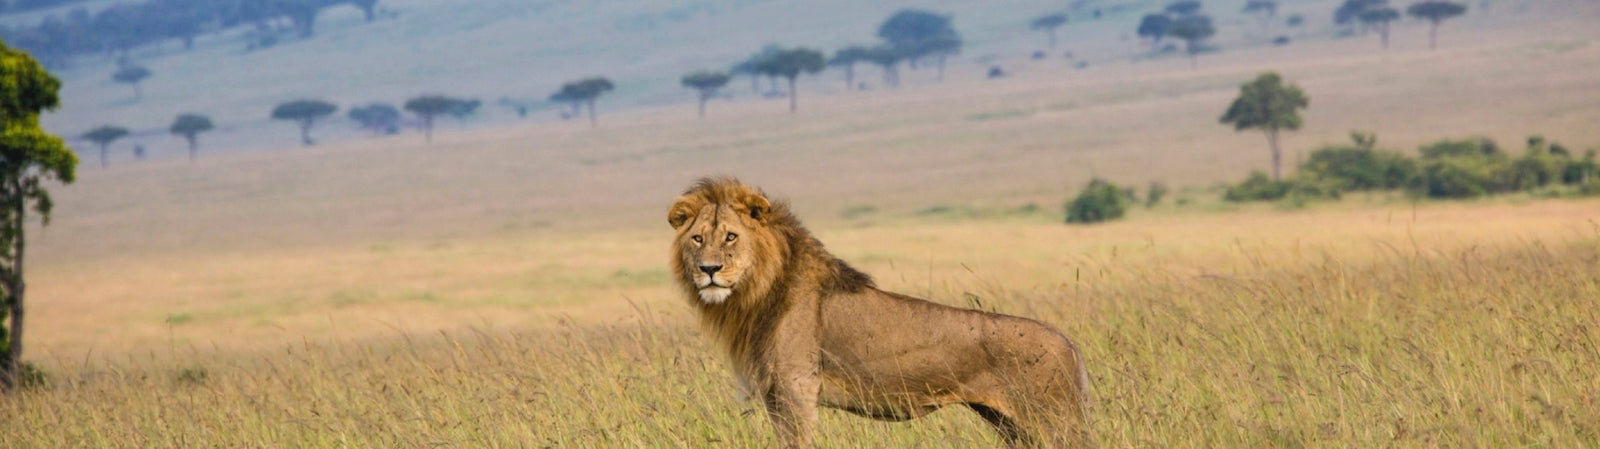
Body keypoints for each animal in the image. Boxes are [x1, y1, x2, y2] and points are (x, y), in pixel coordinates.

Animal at [662, 176, 1088, 444]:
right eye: (697, 239)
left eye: (731, 237)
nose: (709, 270)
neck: (756, 293)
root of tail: (1069, 343)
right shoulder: (773, 395)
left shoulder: (797, 389)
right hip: (1009, 424)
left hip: (1052, 421)